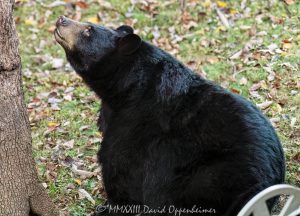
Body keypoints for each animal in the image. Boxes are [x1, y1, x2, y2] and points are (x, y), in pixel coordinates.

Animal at [54, 16, 286, 215]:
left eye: (88, 30)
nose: (62, 19)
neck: (126, 88)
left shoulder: (136, 124)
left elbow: (121, 167)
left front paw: (109, 206)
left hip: (211, 176)